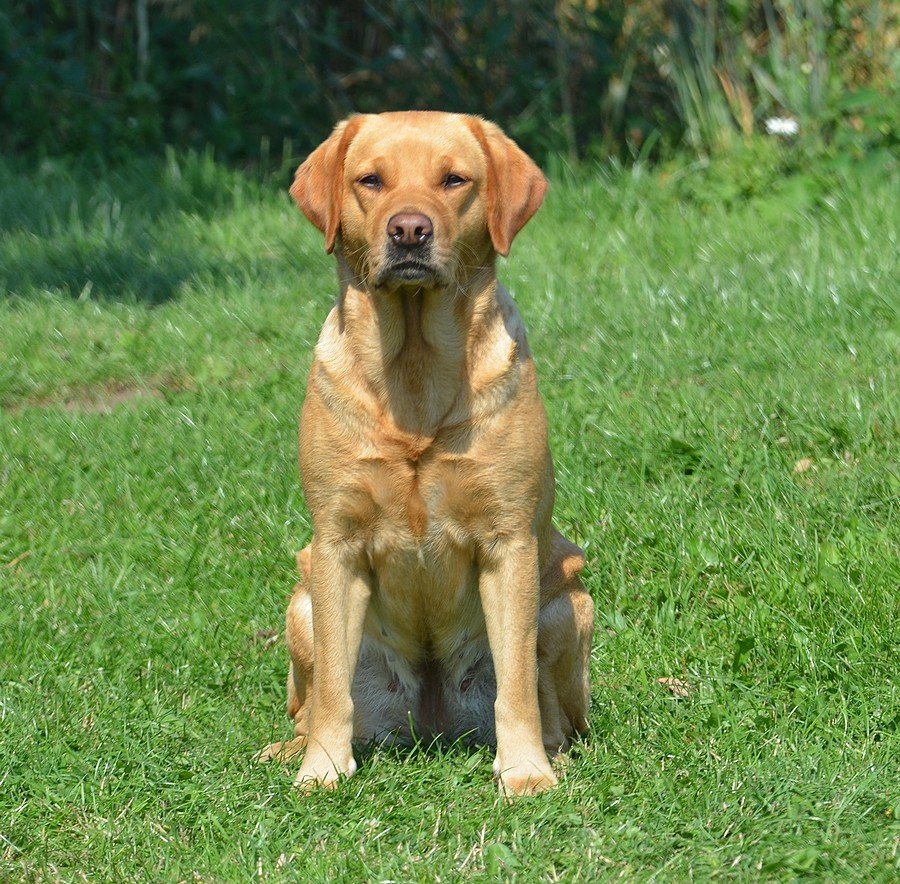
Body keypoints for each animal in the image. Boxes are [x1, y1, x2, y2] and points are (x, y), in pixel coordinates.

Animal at [260, 112, 594, 796]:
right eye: (371, 180)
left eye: (453, 180)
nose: (409, 230)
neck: (413, 374)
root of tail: (434, 721)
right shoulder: (336, 543)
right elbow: (332, 692)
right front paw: (322, 771)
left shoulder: (508, 541)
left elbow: (516, 686)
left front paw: (525, 772)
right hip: (302, 605)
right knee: (314, 699)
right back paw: (292, 750)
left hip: (567, 604)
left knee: (552, 708)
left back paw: (553, 754)